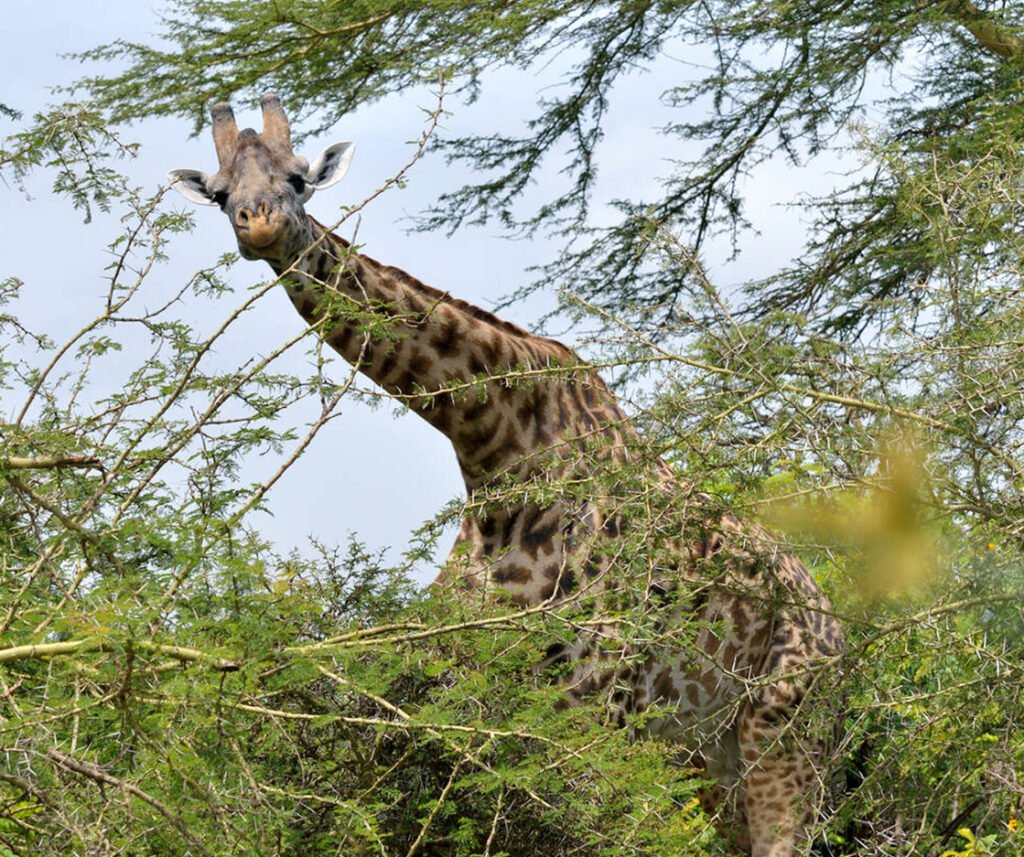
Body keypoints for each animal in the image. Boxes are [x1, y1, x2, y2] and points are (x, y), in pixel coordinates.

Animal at [169, 94, 846, 857]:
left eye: (297, 177)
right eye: (220, 193)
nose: (258, 222)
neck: (495, 452)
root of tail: (837, 625)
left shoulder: (595, 698)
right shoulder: (482, 687)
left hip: (784, 733)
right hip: (707, 751)